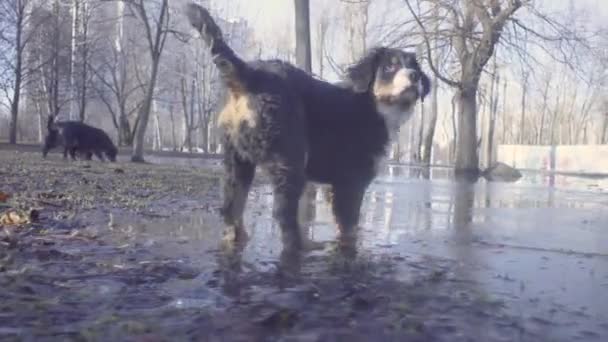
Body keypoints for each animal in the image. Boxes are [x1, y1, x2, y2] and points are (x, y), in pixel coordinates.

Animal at [185, 3, 428, 248]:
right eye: (389, 67)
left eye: (414, 67)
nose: (414, 76)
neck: (374, 107)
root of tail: (250, 74)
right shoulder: (352, 180)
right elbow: (349, 225)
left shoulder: (335, 184)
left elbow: (341, 222)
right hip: (289, 159)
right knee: (282, 213)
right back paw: (299, 244)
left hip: (237, 161)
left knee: (231, 207)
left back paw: (238, 239)